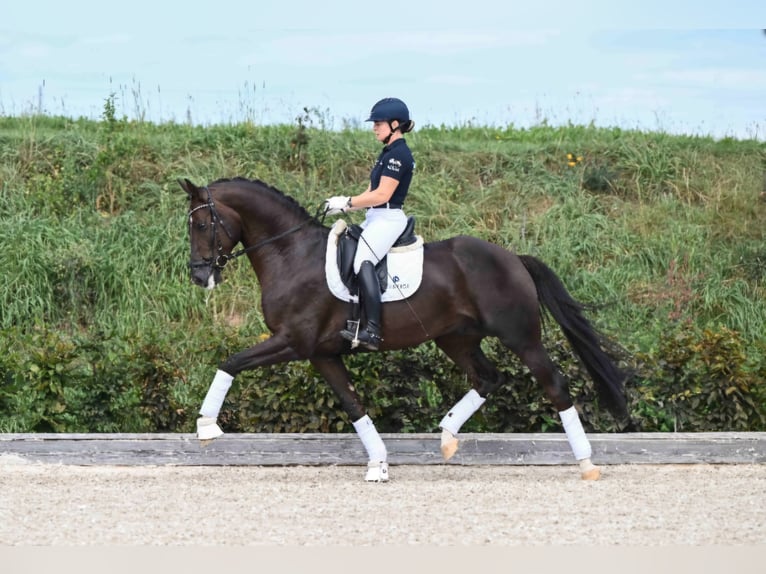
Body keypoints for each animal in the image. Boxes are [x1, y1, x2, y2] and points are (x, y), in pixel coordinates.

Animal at [182, 178, 636, 484]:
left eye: (201, 225)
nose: (199, 276)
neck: (291, 253)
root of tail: (512, 257)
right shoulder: (322, 353)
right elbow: (353, 405)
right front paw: (379, 464)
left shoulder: (293, 342)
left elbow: (231, 362)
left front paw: (206, 427)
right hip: (456, 338)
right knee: (488, 378)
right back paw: (447, 436)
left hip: (521, 338)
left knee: (554, 385)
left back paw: (587, 464)